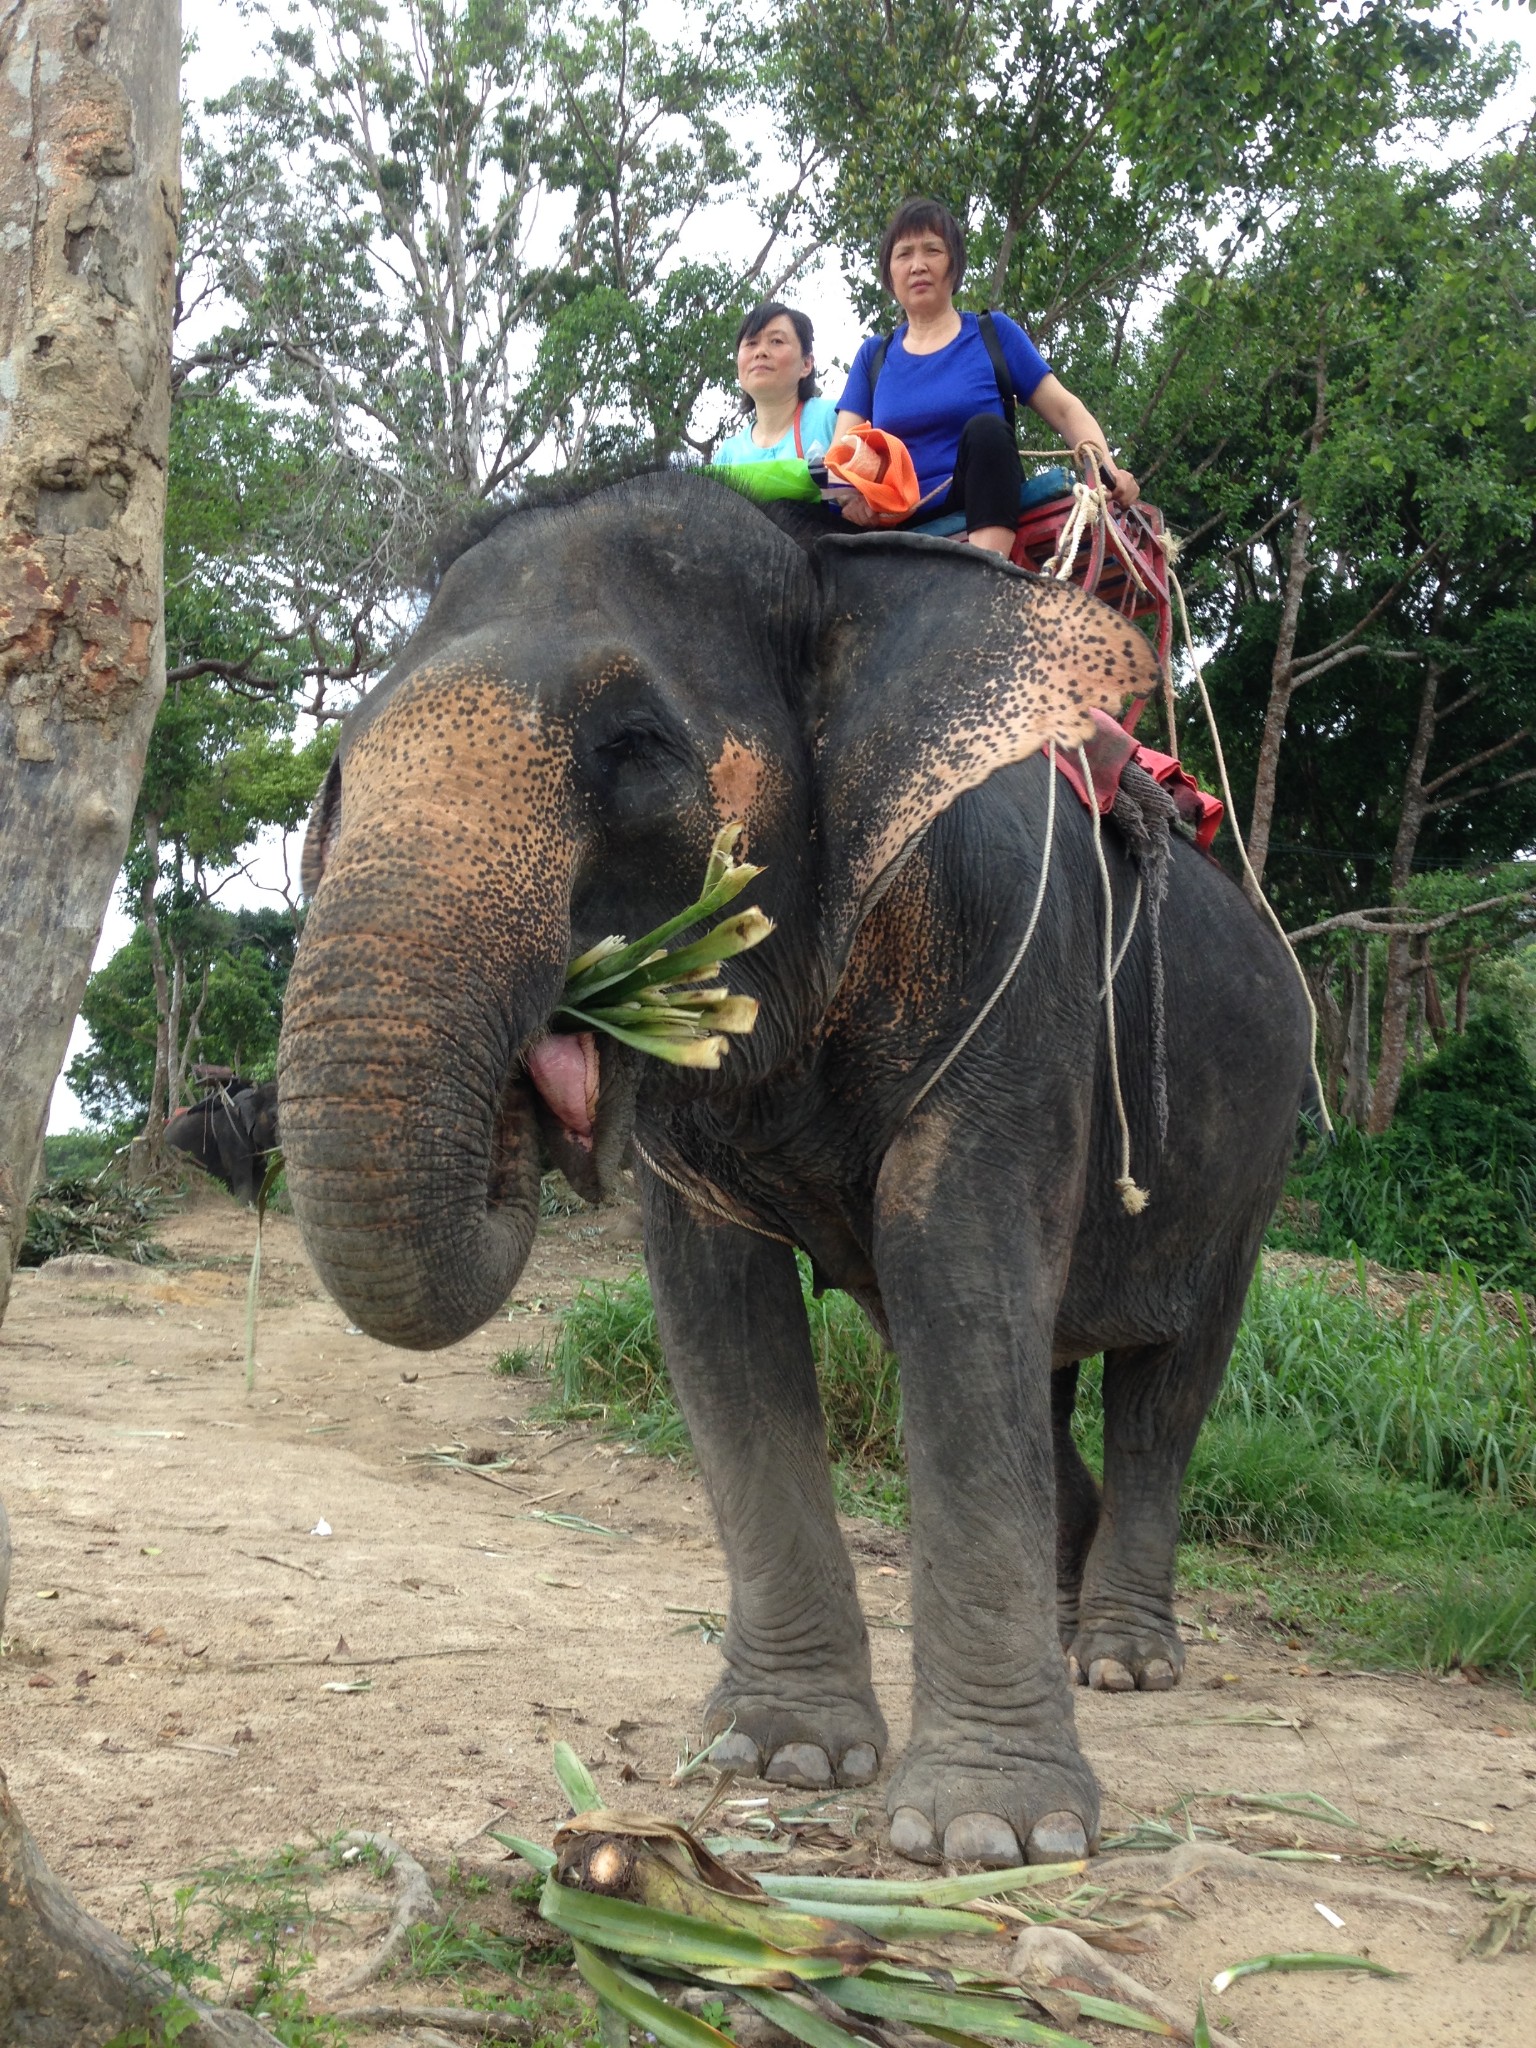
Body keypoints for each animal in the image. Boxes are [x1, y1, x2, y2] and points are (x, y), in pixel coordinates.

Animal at [276, 475, 1310, 1875]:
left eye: (633, 746)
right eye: (340, 766)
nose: (549, 1077)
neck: (835, 572)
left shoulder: (1012, 974)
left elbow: (957, 1271)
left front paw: (992, 1833)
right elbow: (723, 1312)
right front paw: (780, 1757)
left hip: (1252, 1154)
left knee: (1167, 1378)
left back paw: (1122, 1660)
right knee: (1048, 1375)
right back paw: (1064, 1606)